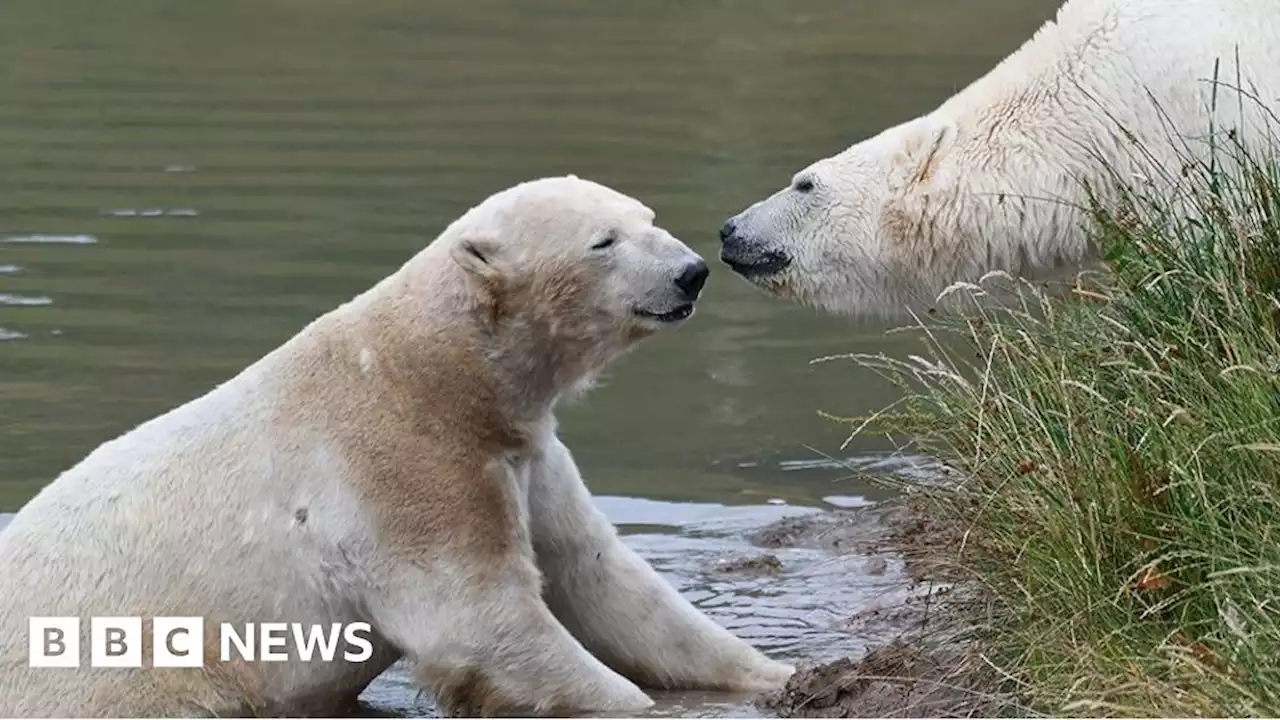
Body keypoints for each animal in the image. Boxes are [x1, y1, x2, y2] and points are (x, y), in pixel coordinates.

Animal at [0, 175, 788, 717]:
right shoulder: (401, 467)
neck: (438, 368)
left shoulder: (525, 451)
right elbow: (477, 621)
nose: (691, 271)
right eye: (603, 241)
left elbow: (604, 582)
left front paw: (774, 675)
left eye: (646, 218)